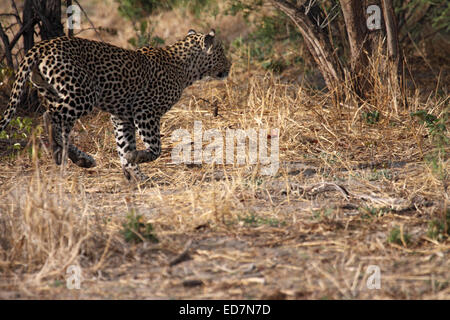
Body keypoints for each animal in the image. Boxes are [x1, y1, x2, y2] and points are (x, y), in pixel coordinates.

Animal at [0, 29, 230, 182]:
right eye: (221, 53)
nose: (230, 65)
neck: (186, 68)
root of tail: (42, 45)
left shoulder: (122, 116)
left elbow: (124, 144)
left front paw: (135, 175)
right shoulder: (146, 111)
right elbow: (155, 148)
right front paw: (136, 161)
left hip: (53, 91)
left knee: (57, 124)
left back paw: (77, 158)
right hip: (82, 95)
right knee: (51, 120)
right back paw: (68, 155)